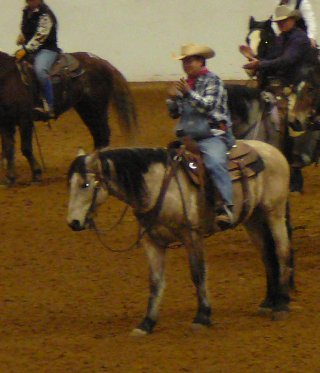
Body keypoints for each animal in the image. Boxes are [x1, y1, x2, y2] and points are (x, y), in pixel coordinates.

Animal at [0, 50, 136, 185]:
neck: (8, 78)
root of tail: (103, 62)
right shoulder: (6, 122)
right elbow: (8, 148)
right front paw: (10, 178)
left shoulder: (25, 120)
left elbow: (26, 149)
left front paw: (36, 175)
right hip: (85, 109)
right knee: (99, 136)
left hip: (96, 107)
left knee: (102, 135)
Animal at [66, 140, 294, 334]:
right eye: (70, 185)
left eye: (85, 185)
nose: (73, 223)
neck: (159, 186)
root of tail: (272, 150)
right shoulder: (152, 242)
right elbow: (155, 281)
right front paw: (146, 323)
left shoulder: (191, 235)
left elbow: (198, 274)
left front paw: (202, 317)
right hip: (253, 220)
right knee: (267, 257)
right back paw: (268, 303)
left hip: (274, 213)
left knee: (282, 252)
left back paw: (281, 306)